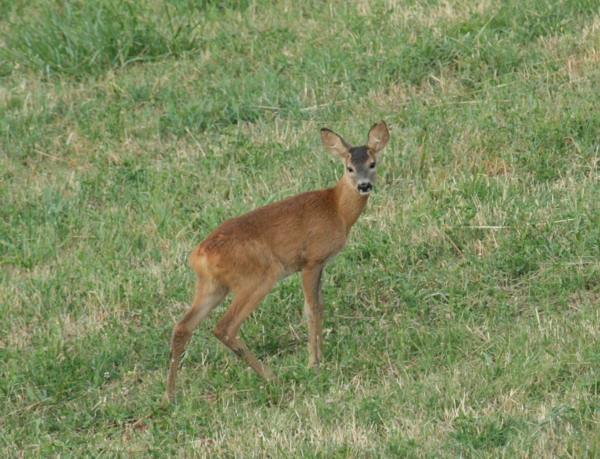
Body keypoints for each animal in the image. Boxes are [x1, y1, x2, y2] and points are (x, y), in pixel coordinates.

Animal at [163, 120, 390, 404]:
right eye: (349, 168)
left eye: (372, 163)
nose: (364, 185)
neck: (337, 208)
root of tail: (199, 256)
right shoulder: (311, 259)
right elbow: (312, 309)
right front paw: (314, 364)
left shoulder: (320, 263)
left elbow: (320, 305)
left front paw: (320, 357)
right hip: (257, 278)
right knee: (224, 326)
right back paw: (272, 377)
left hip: (213, 286)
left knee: (182, 327)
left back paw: (170, 396)